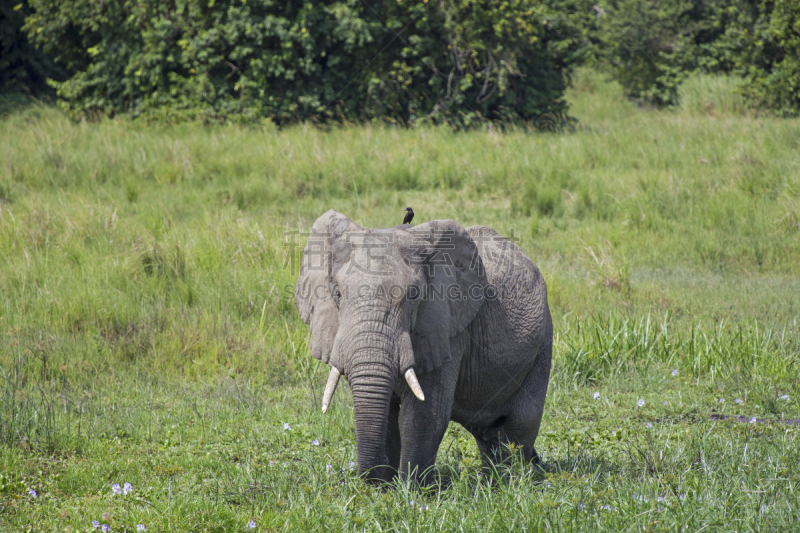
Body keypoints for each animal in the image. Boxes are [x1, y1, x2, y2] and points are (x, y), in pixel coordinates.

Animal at [294, 210, 552, 484]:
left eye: (414, 295)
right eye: (338, 294)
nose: (371, 479)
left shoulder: (447, 328)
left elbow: (423, 415)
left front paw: (411, 488)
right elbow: (388, 414)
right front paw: (384, 487)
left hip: (543, 343)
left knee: (522, 421)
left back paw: (514, 479)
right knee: (488, 432)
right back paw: (495, 477)